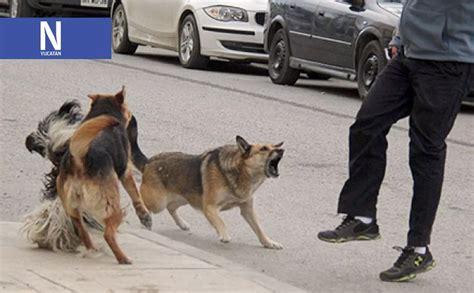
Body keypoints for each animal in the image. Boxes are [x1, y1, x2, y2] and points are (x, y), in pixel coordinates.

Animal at [55, 86, 152, 262]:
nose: (132, 115)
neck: (104, 111)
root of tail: (81, 159)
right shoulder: (126, 172)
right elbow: (135, 194)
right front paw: (144, 215)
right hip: (113, 208)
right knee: (108, 234)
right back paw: (123, 259)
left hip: (72, 209)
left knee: (81, 230)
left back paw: (92, 249)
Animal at [128, 116, 286, 249]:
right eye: (264, 148)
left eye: (274, 146)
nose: (281, 150)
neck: (240, 171)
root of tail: (148, 162)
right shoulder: (209, 207)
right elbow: (221, 222)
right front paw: (223, 234)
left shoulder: (247, 209)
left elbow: (259, 228)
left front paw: (268, 242)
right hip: (158, 202)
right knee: (143, 203)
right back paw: (144, 218)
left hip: (185, 198)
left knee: (171, 207)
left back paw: (182, 224)